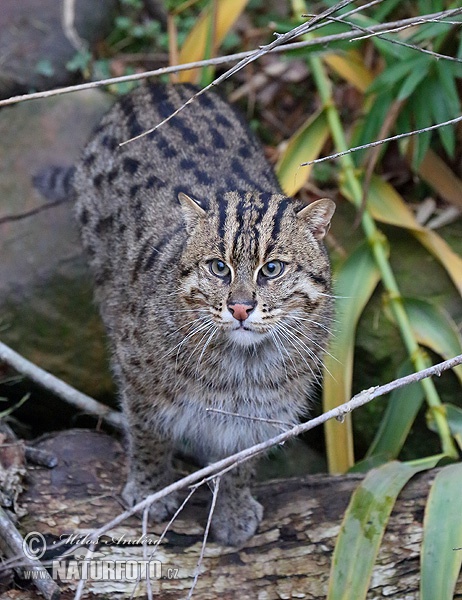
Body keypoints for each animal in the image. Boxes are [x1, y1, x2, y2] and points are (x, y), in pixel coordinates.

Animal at [70, 82, 334, 548]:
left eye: (272, 269)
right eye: (218, 268)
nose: (241, 306)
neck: (243, 365)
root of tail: (157, 85)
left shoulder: (260, 416)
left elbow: (240, 464)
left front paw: (233, 509)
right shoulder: (140, 380)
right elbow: (148, 436)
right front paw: (149, 493)